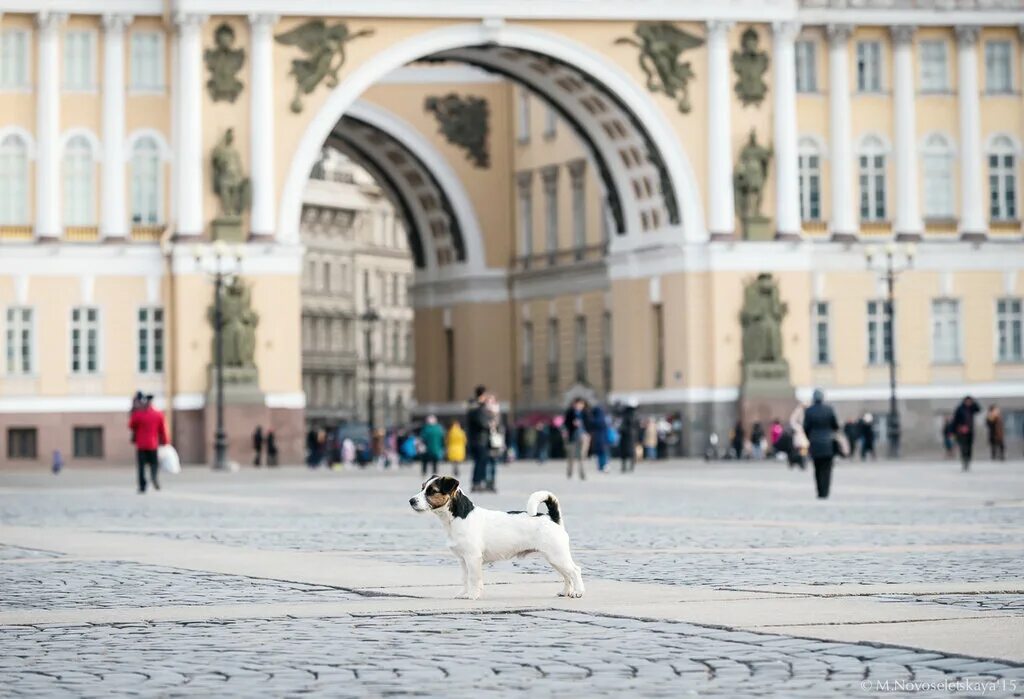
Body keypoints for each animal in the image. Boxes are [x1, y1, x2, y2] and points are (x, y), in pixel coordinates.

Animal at [407, 474, 585, 601]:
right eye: (422, 488)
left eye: (432, 491)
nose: (411, 501)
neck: (458, 517)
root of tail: (552, 518)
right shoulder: (463, 560)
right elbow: (464, 578)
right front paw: (463, 594)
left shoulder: (473, 558)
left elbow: (474, 578)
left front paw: (473, 595)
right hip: (555, 559)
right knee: (567, 575)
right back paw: (565, 592)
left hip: (557, 556)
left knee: (575, 571)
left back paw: (578, 592)